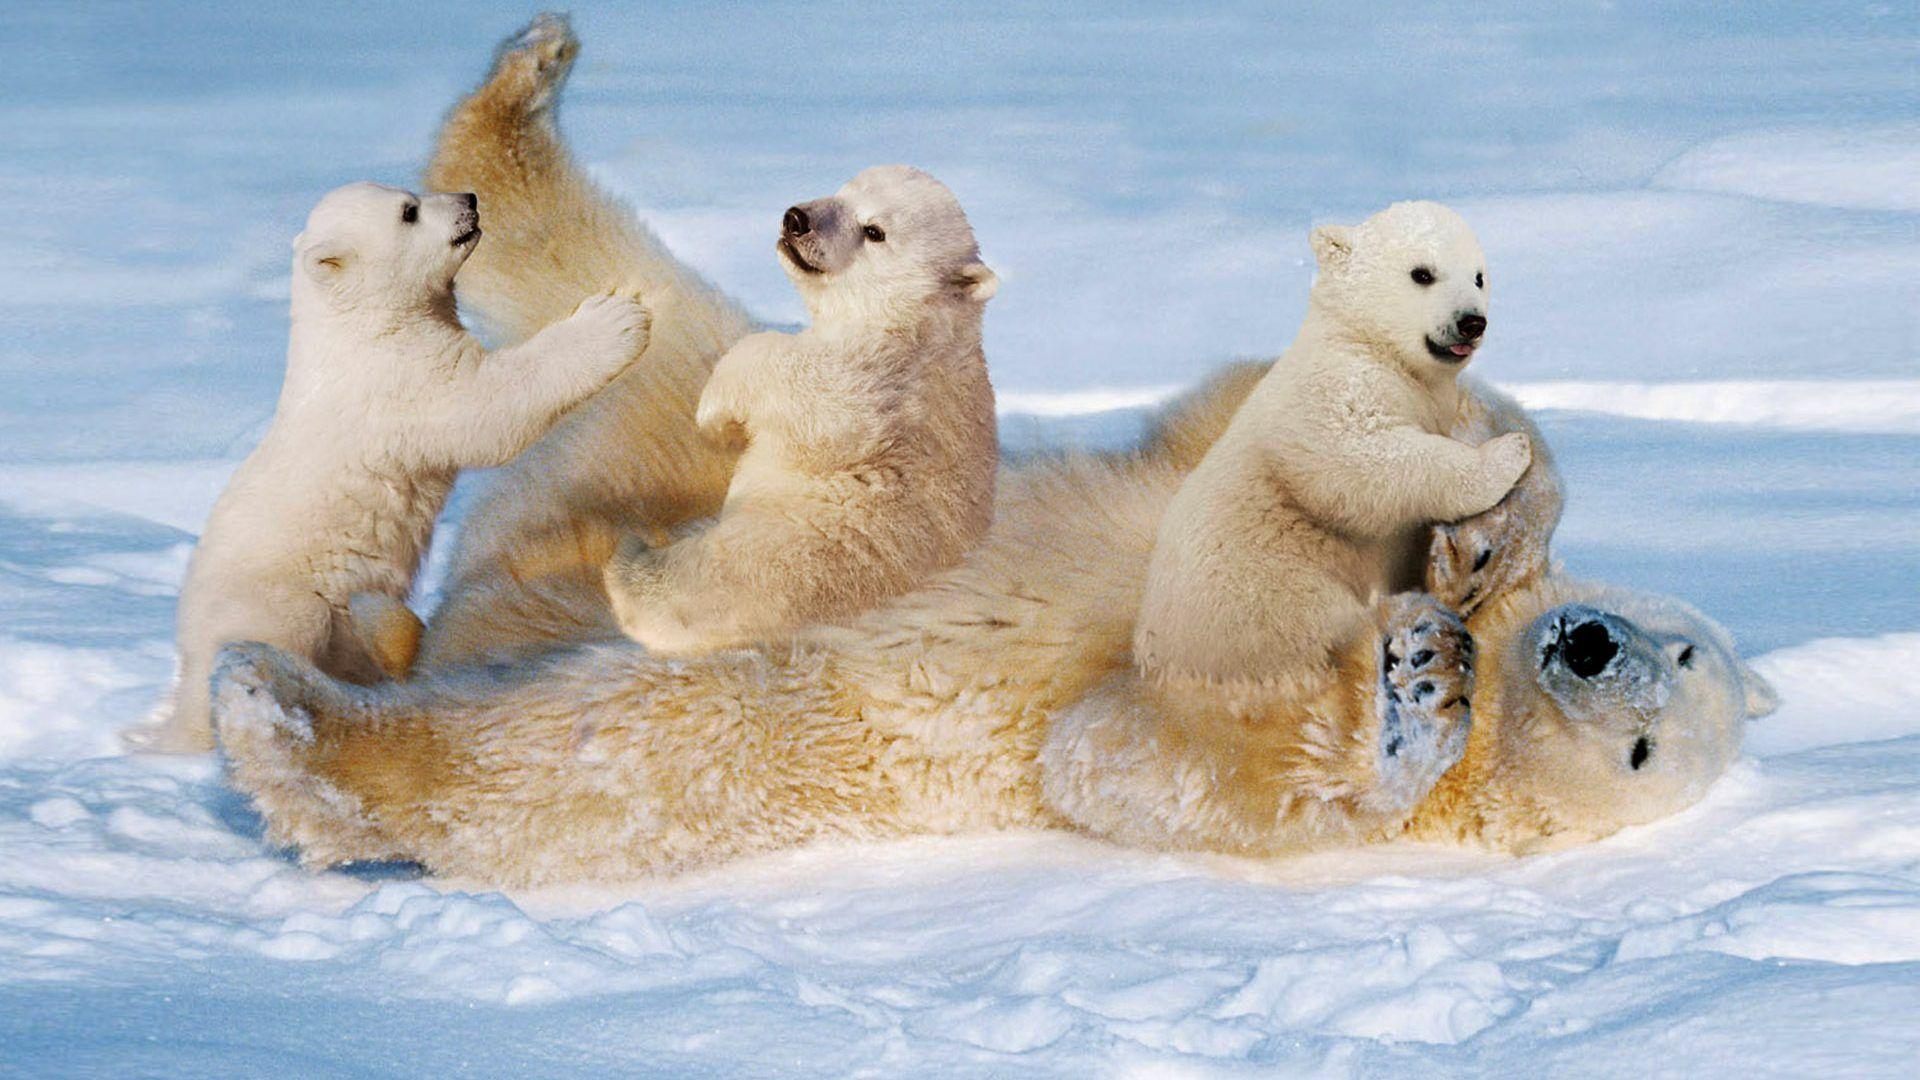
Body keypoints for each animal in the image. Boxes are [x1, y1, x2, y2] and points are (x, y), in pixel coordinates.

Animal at [127, 181, 651, 753]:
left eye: (410, 196)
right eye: (409, 212)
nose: (470, 199)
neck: (359, 328)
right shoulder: (400, 382)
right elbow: (488, 405)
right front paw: (616, 318)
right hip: (275, 596)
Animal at [601, 165, 1000, 655]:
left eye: (874, 230)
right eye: (843, 190)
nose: (797, 219)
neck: (920, 321)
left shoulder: (885, 374)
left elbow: (814, 392)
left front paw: (714, 413)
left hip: (795, 556)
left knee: (698, 583)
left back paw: (630, 555)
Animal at [1133, 201, 1532, 703]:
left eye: (1479, 277)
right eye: (1422, 273)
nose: (1471, 321)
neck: (1364, 342)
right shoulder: (1339, 387)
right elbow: (1359, 458)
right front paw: (1509, 450)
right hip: (1262, 601)